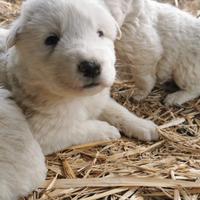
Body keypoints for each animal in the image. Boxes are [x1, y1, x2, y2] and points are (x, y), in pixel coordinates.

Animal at [0, 0, 159, 155]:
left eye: (100, 33)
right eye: (51, 39)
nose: (91, 67)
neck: (79, 99)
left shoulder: (99, 99)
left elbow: (117, 110)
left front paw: (144, 125)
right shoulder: (44, 133)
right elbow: (79, 128)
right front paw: (108, 130)